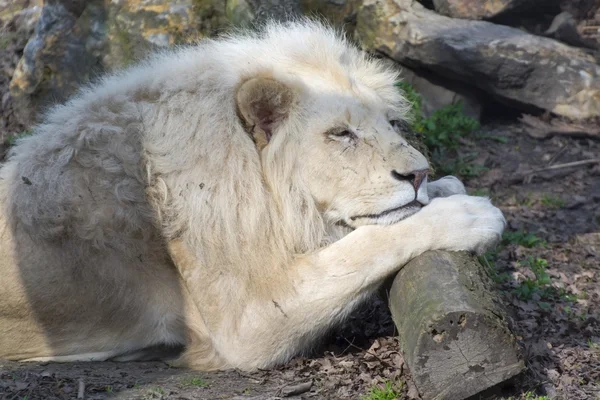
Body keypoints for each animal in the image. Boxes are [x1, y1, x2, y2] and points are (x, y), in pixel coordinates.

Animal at [0, 18, 506, 368]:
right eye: (341, 134)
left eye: (392, 124)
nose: (418, 174)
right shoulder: (246, 321)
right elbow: (363, 249)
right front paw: (468, 214)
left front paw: (444, 186)